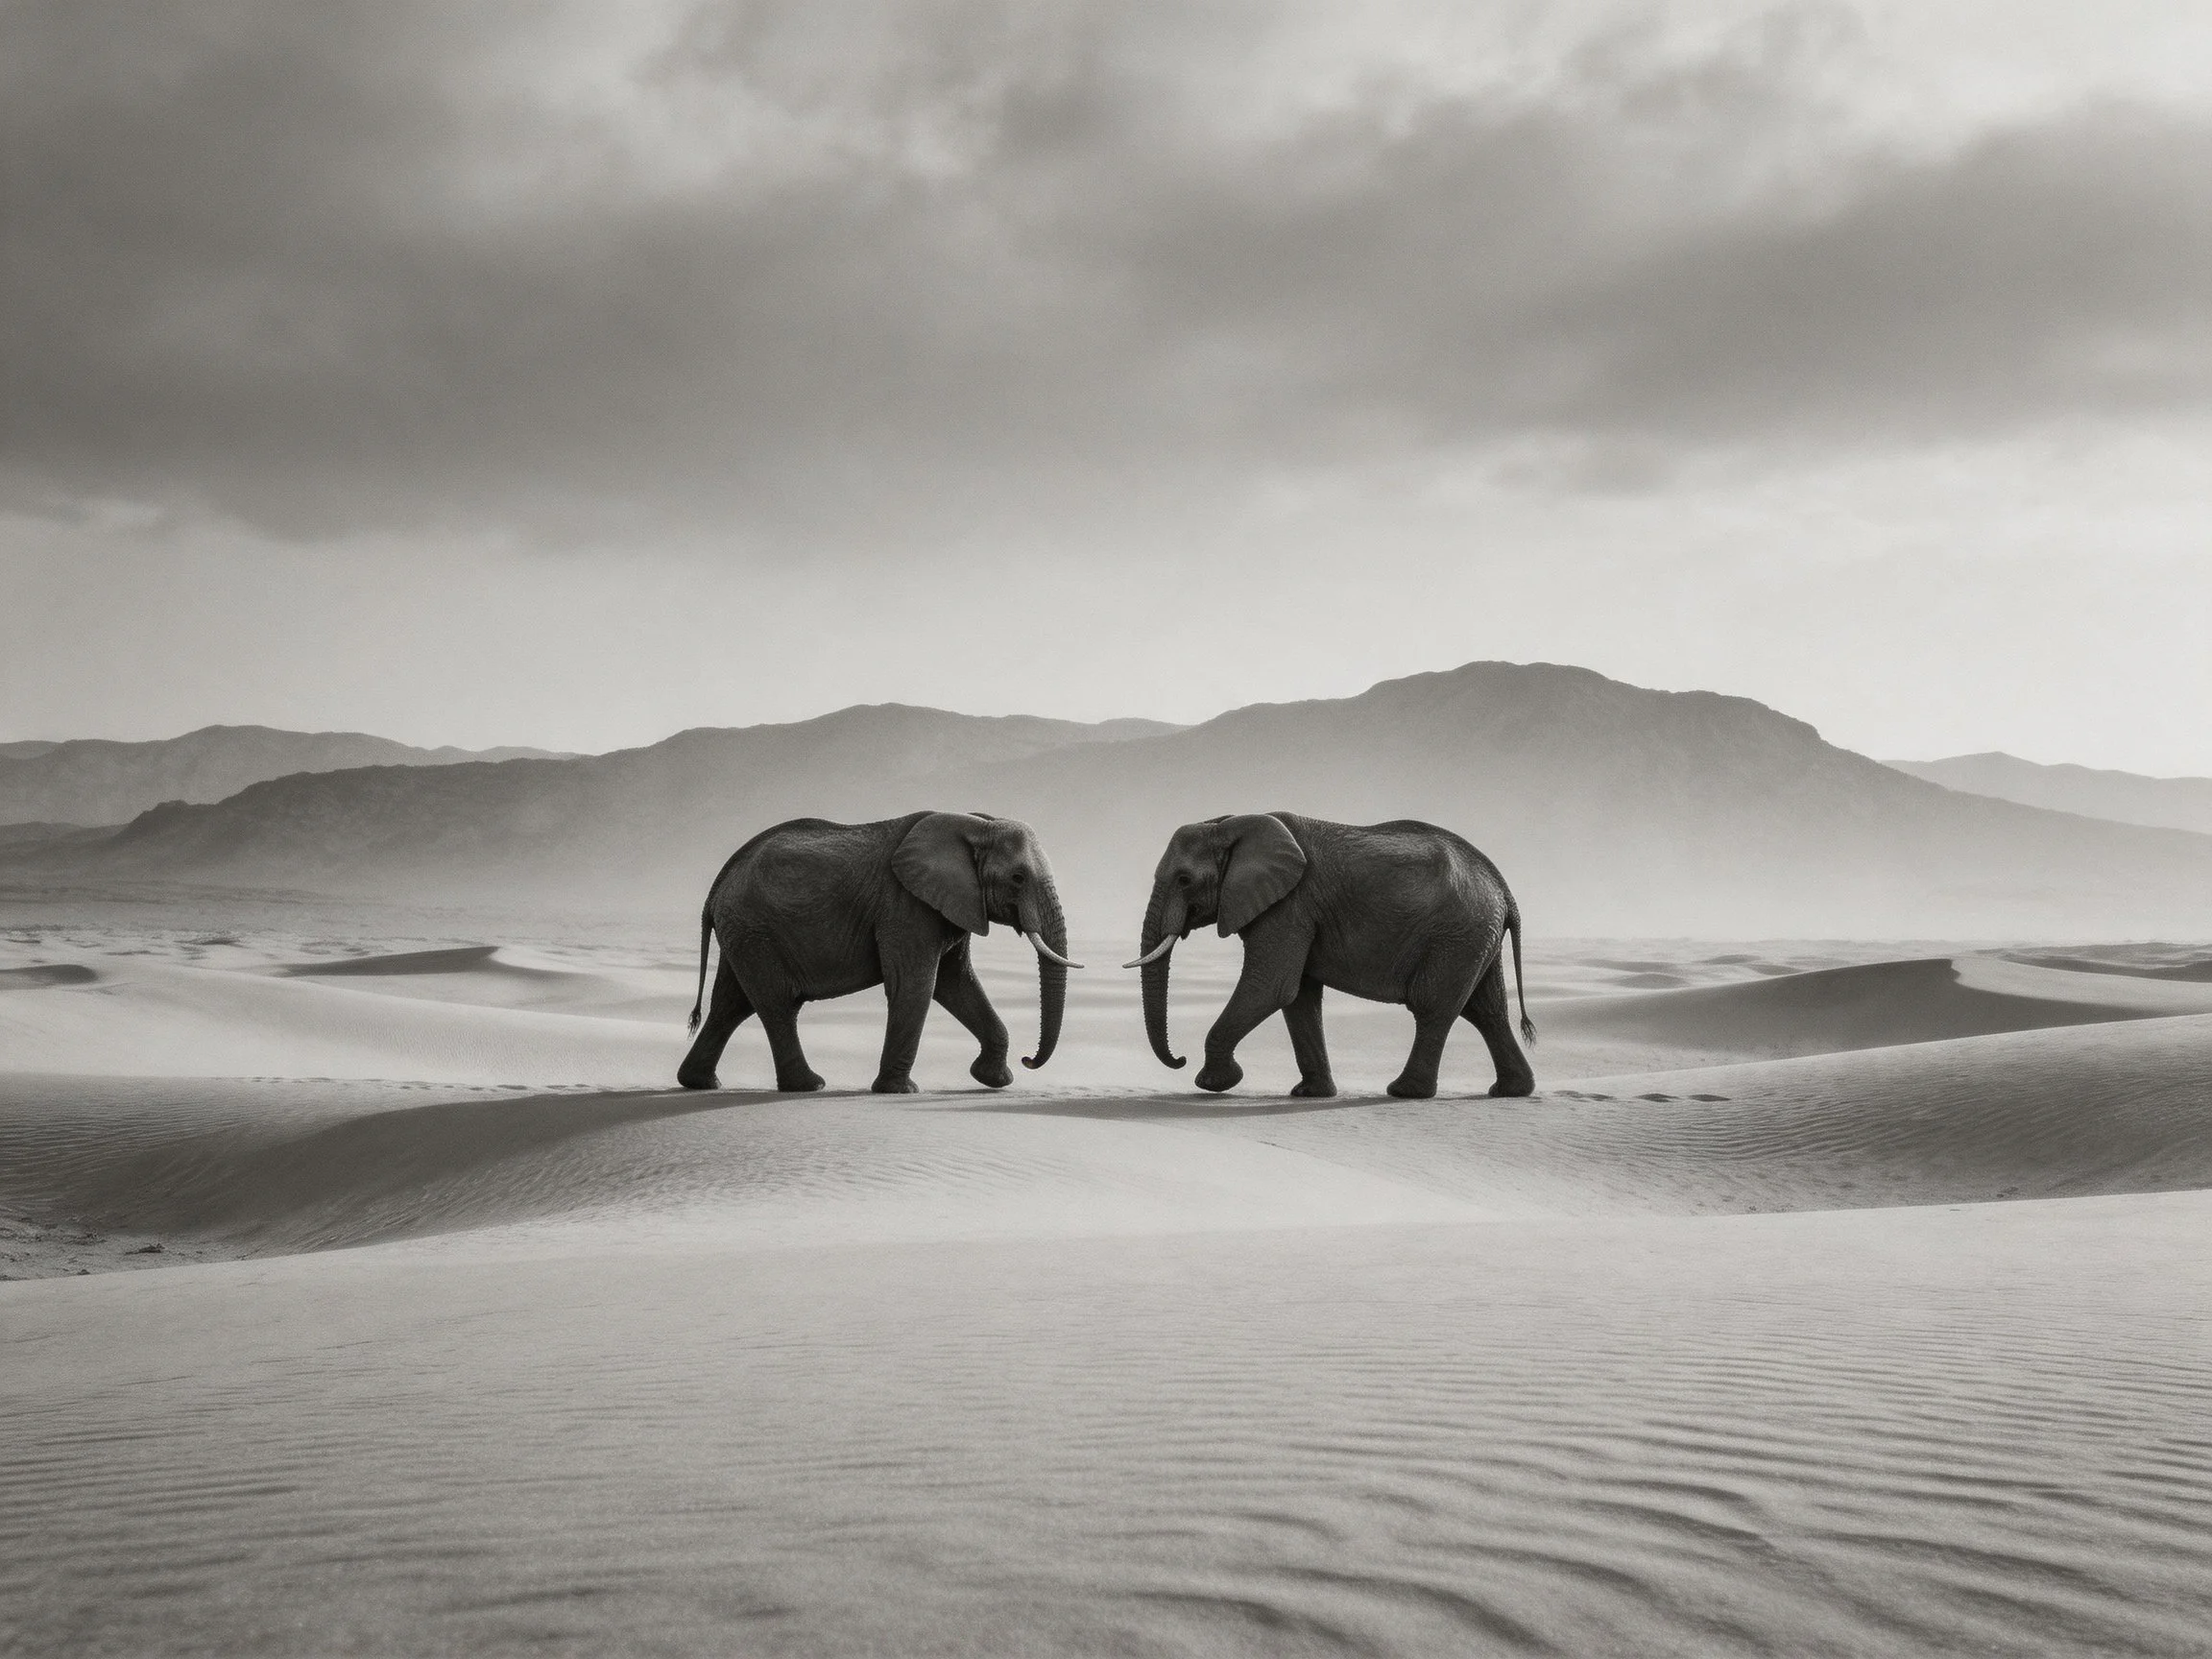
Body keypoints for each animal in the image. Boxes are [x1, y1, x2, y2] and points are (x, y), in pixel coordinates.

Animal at [677, 811, 1081, 1094]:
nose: (1029, 1060)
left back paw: (699, 1083)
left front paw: (994, 1080)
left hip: (743, 932)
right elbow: (916, 986)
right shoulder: (906, 906)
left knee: (731, 1005)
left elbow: (956, 983)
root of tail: (717, 887)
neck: (976, 825)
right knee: (776, 1006)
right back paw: (810, 1085)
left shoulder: (951, 905)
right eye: (1018, 878)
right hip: (755, 930)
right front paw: (901, 1091)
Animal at [1127, 812, 1536, 1100]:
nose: (1179, 1059)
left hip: (1455, 935)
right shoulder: (1296, 910)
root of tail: (1504, 890)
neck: (1230, 824)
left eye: (1184, 880)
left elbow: (1271, 986)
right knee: (1487, 1011)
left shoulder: (1291, 905)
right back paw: (1510, 1091)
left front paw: (1214, 1083)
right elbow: (1298, 997)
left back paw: (1404, 1092)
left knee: (1434, 1007)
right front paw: (1309, 1094)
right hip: (1474, 937)